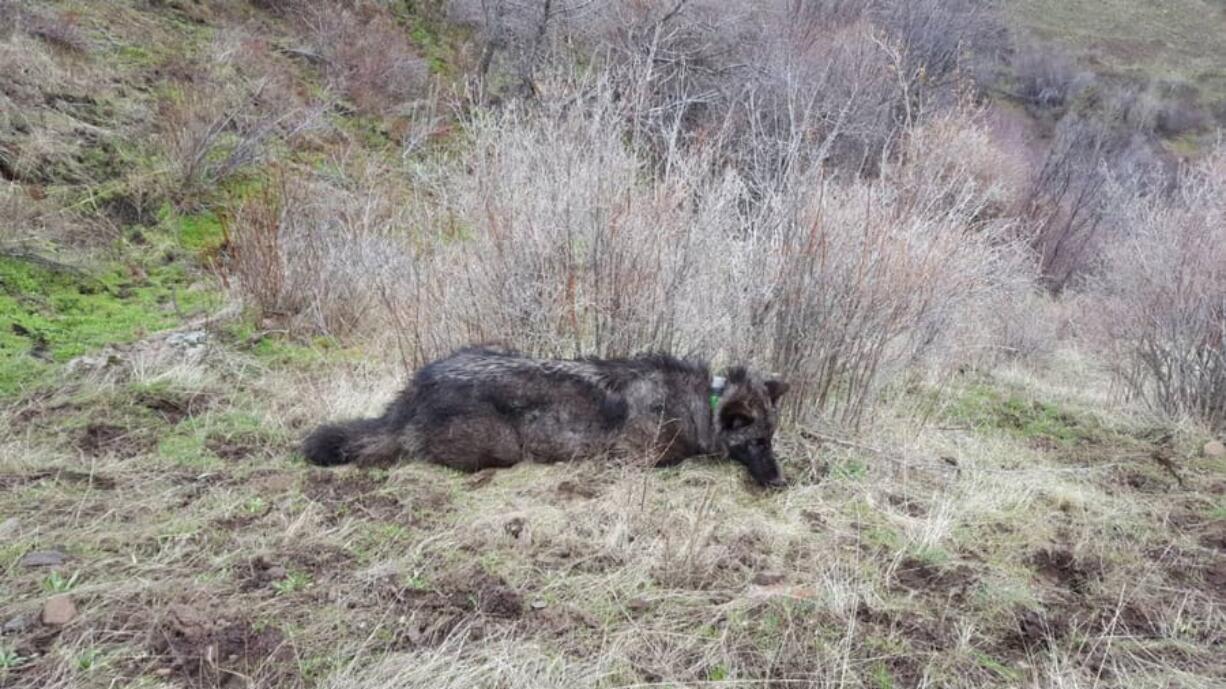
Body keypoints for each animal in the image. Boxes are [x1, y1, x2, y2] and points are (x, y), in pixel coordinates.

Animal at [301, 345, 789, 485]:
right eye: (758, 442)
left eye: (770, 439)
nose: (782, 483)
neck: (700, 406)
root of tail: (416, 388)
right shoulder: (639, 458)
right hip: (501, 448)